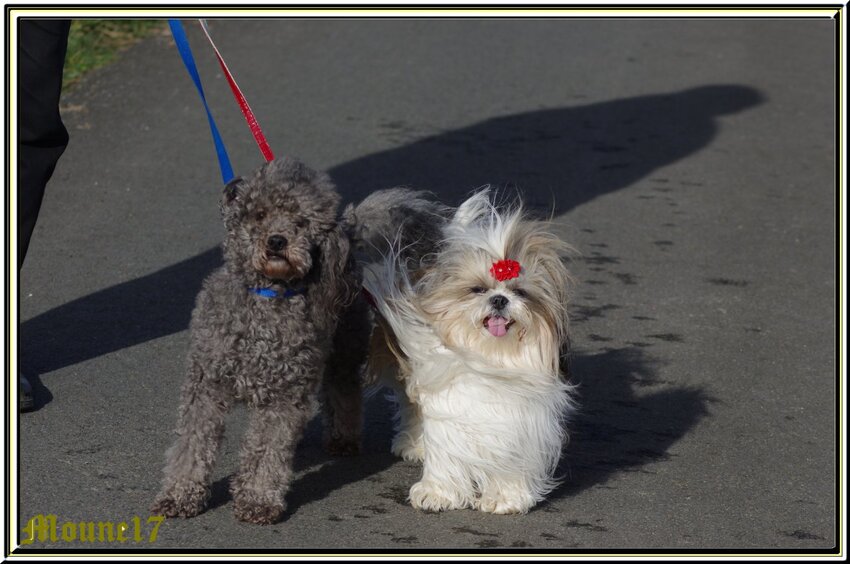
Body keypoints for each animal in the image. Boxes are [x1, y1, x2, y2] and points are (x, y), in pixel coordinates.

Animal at [362, 192, 572, 512]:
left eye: (520, 292)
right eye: (477, 289)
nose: (499, 299)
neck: (491, 356)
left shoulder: (518, 420)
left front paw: (506, 498)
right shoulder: (450, 408)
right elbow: (445, 451)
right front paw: (437, 494)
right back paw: (415, 445)